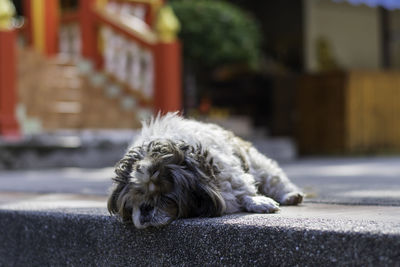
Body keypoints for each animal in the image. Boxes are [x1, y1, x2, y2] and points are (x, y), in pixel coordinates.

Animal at [107, 112, 304, 229]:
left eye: (165, 196)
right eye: (134, 199)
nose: (145, 208)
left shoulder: (229, 175)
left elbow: (243, 191)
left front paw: (258, 201)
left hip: (259, 165)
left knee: (274, 180)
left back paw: (289, 196)